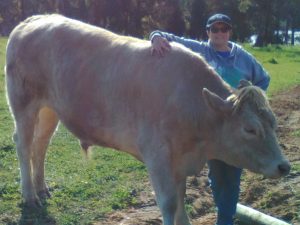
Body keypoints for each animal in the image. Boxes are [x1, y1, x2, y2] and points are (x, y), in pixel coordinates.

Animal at [5, 14, 290, 225]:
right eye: (250, 129)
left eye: (274, 124)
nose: (284, 166)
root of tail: (34, 19)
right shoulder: (158, 156)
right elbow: (169, 202)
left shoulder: (179, 161)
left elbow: (181, 198)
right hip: (23, 103)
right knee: (23, 144)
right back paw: (30, 196)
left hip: (49, 109)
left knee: (40, 145)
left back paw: (42, 188)